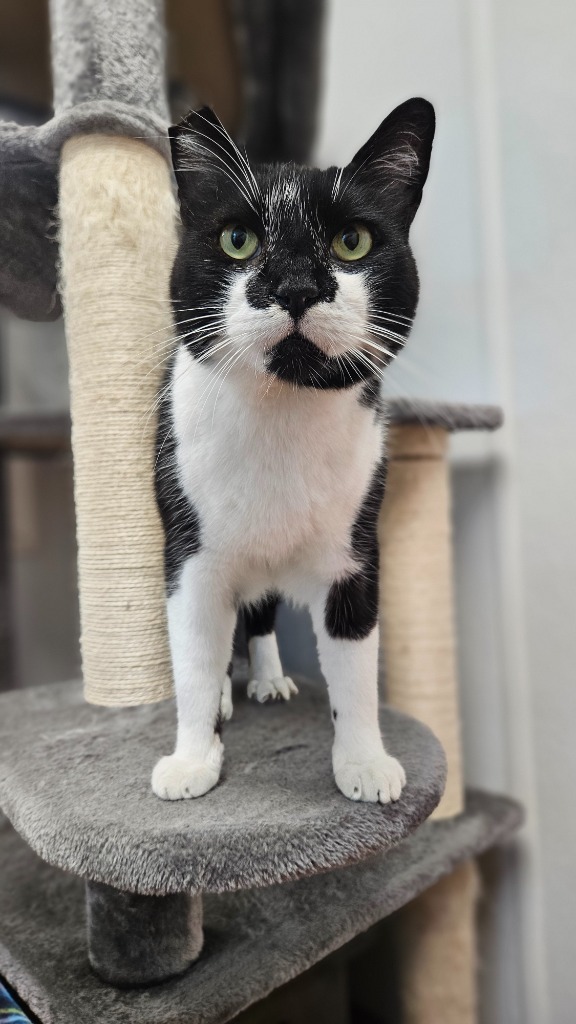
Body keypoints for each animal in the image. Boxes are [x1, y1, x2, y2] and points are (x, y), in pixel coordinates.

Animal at [150, 101, 432, 806]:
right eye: (238, 239)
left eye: (352, 241)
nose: (298, 285)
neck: (281, 414)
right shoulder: (189, 552)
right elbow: (194, 659)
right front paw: (193, 758)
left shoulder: (355, 550)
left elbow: (356, 668)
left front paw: (364, 764)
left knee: (261, 613)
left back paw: (269, 677)